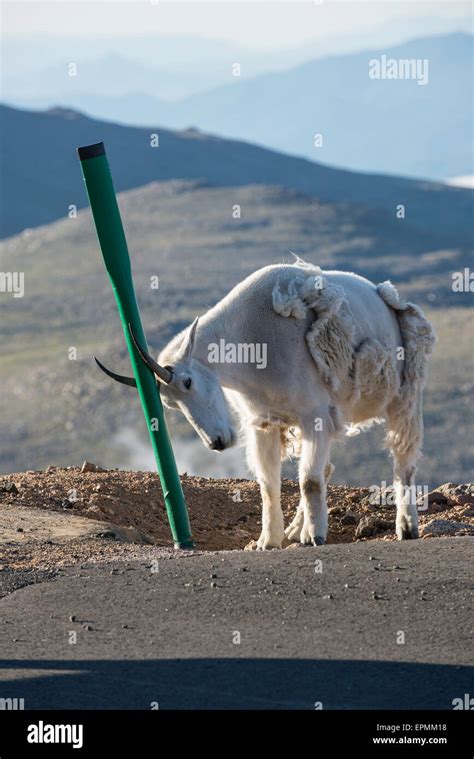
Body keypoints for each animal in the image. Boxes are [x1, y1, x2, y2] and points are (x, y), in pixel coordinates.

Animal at [102, 260, 436, 548]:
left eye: (188, 382)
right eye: (169, 404)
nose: (216, 442)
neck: (251, 341)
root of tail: (384, 296)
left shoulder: (313, 415)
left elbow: (309, 480)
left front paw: (316, 536)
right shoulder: (263, 422)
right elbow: (269, 483)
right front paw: (268, 541)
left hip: (403, 399)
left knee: (403, 462)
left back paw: (406, 527)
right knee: (326, 466)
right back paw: (295, 530)